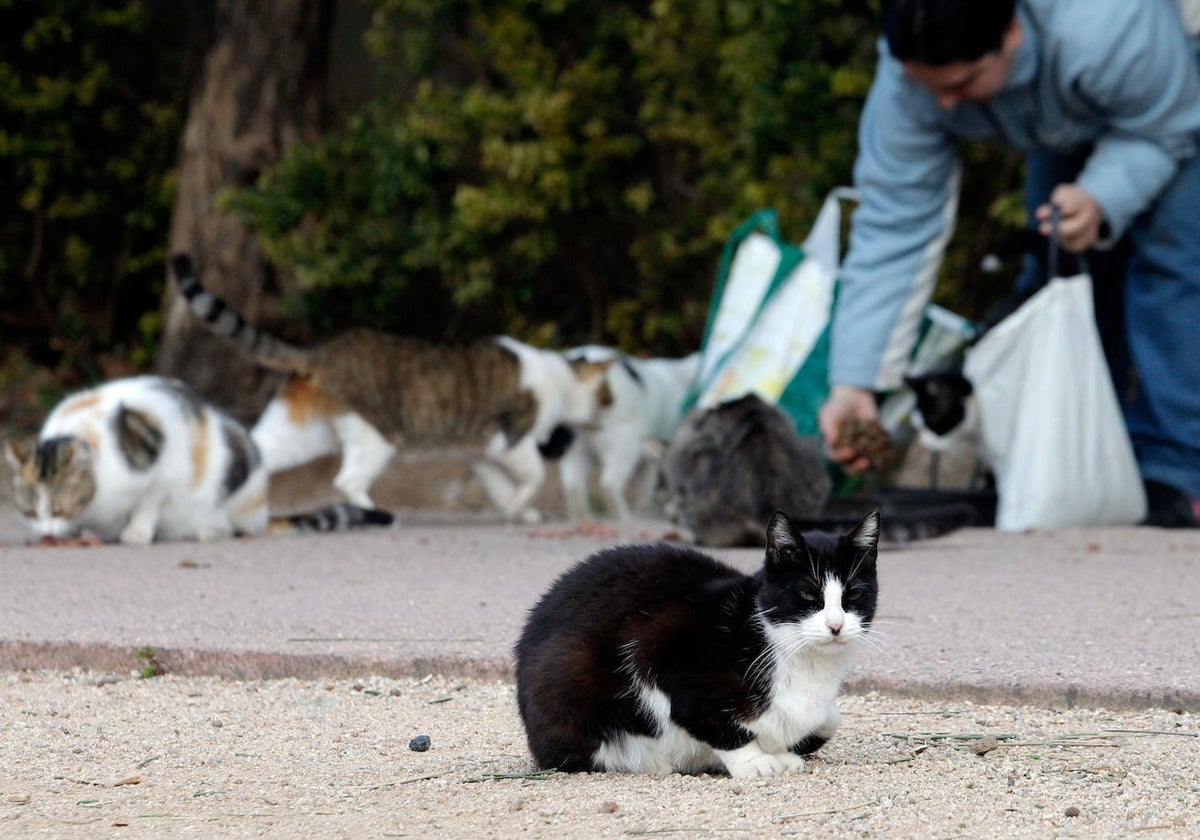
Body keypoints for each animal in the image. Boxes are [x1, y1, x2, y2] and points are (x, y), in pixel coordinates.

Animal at [5, 376, 393, 547]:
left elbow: (149, 501)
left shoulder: (165, 465)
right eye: (30, 512)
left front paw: (135, 533)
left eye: (58, 508)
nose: (46, 533)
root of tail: (262, 513)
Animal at [169, 253, 609, 520]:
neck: (560, 375)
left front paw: (515, 512)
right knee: (346, 481)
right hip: (375, 436)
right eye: (606, 397)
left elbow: (499, 488)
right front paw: (521, 504)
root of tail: (318, 353)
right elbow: (533, 476)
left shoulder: (479, 452)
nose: (602, 419)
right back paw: (376, 515)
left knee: (253, 449)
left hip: (302, 433)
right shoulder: (511, 440)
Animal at [554, 345, 700, 518]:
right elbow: (646, 488)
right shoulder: (648, 453)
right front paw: (644, 514)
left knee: (573, 485)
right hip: (624, 443)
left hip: (577, 448)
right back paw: (625, 518)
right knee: (608, 484)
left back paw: (585, 519)